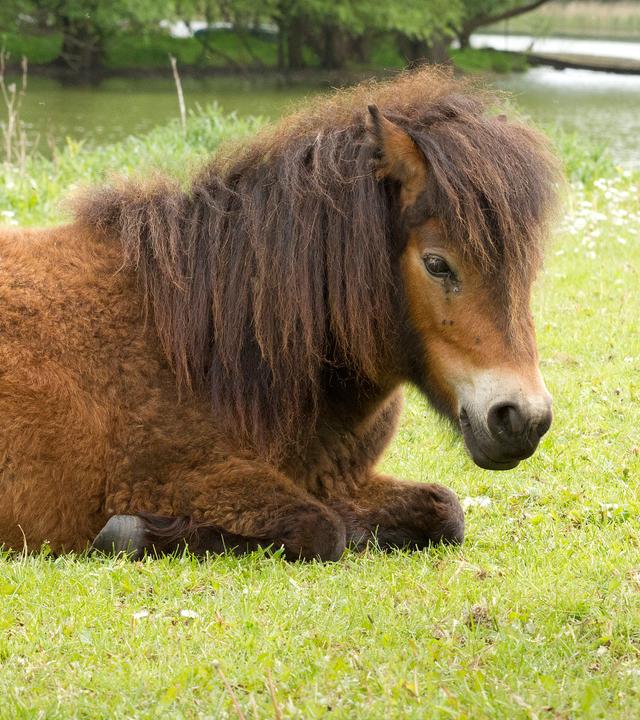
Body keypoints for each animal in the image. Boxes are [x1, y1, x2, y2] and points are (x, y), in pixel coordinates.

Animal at [0, 68, 559, 560]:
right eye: (438, 264)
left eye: (526, 268)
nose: (522, 419)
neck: (216, 350)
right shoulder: (182, 478)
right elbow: (321, 529)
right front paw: (127, 532)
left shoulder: (342, 480)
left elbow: (445, 509)